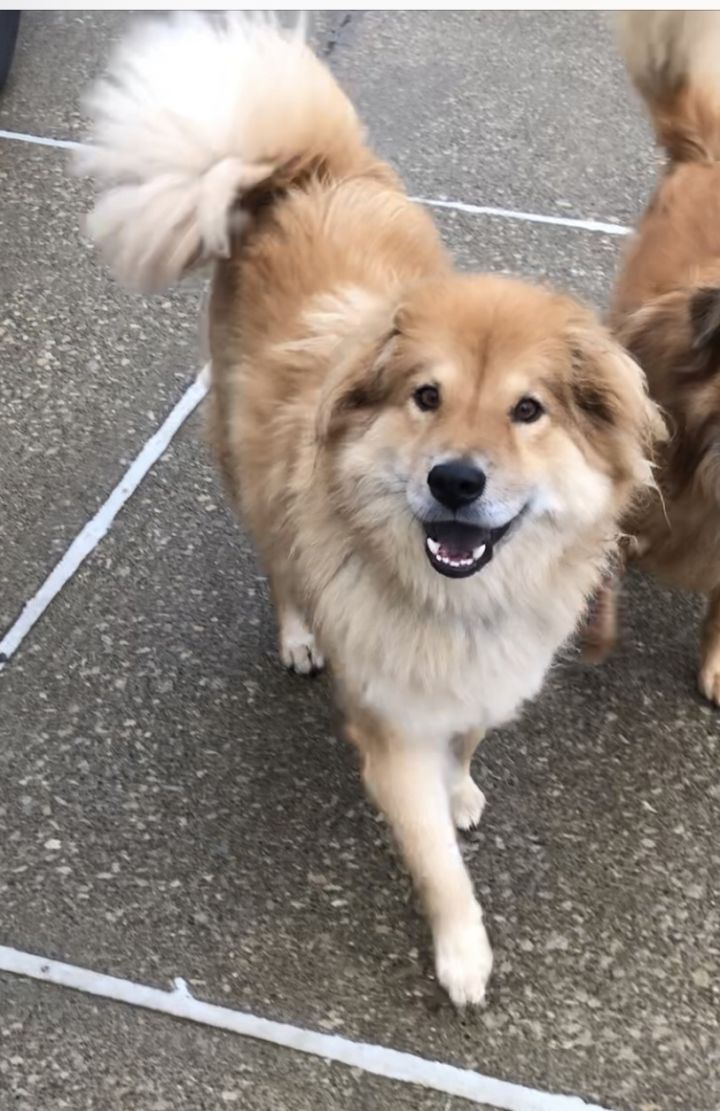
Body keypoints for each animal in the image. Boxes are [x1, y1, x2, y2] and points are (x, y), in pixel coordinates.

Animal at [80, 13, 662, 1008]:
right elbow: (435, 859)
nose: (456, 481)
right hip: (246, 467)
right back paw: (297, 633)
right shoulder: (391, 726)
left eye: (528, 410)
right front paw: (463, 951)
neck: (456, 600)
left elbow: (466, 743)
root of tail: (306, 169)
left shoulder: (480, 675)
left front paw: (463, 787)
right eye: (426, 396)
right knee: (280, 563)